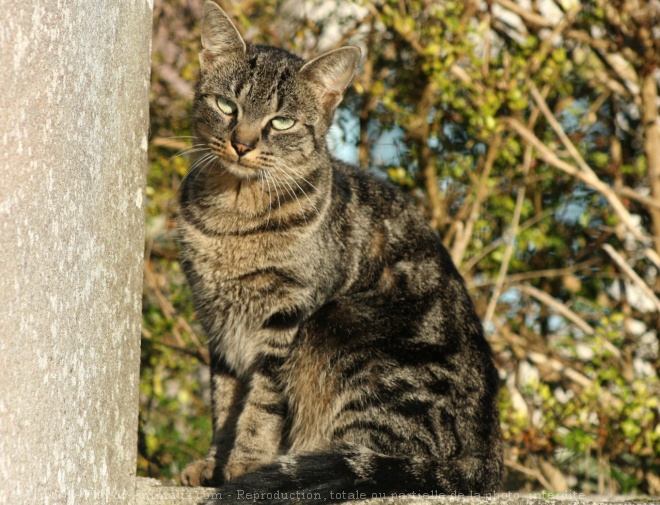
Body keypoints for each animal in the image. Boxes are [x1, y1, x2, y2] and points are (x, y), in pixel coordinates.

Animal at [178, 1, 502, 502]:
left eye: (281, 122)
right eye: (226, 105)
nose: (242, 143)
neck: (233, 215)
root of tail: (487, 460)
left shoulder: (286, 315)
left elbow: (260, 404)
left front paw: (246, 463)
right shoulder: (219, 325)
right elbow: (224, 402)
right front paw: (213, 462)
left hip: (348, 337)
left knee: (369, 455)